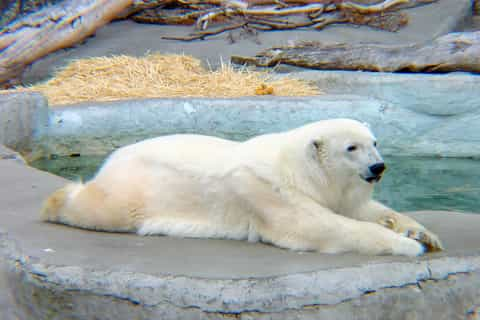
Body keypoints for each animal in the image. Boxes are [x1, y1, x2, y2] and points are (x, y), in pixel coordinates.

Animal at [41, 119, 442, 256]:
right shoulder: (270, 191)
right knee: (99, 207)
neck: (297, 169)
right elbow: (323, 226)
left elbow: (358, 210)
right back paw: (57, 200)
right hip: (135, 189)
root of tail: (113, 158)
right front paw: (408, 246)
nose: (378, 166)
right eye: (351, 148)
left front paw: (423, 234)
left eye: (375, 142)